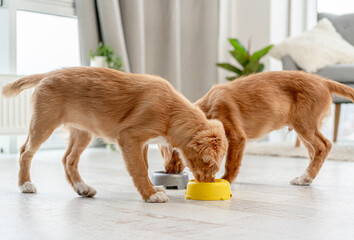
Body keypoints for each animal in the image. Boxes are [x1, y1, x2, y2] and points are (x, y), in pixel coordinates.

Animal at [2, 66, 227, 202]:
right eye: (209, 164)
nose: (209, 182)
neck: (172, 110)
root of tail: (47, 74)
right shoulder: (129, 137)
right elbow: (139, 169)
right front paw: (151, 194)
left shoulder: (142, 143)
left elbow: (144, 166)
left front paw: (153, 190)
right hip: (44, 124)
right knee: (25, 152)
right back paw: (25, 184)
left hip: (83, 132)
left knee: (68, 159)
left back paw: (82, 187)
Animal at [161, 71, 354, 186]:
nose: (167, 171)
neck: (207, 107)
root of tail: (323, 81)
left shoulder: (236, 136)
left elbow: (231, 163)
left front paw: (226, 180)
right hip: (303, 128)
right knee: (314, 151)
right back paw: (306, 177)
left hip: (304, 124)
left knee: (324, 145)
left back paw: (307, 176)